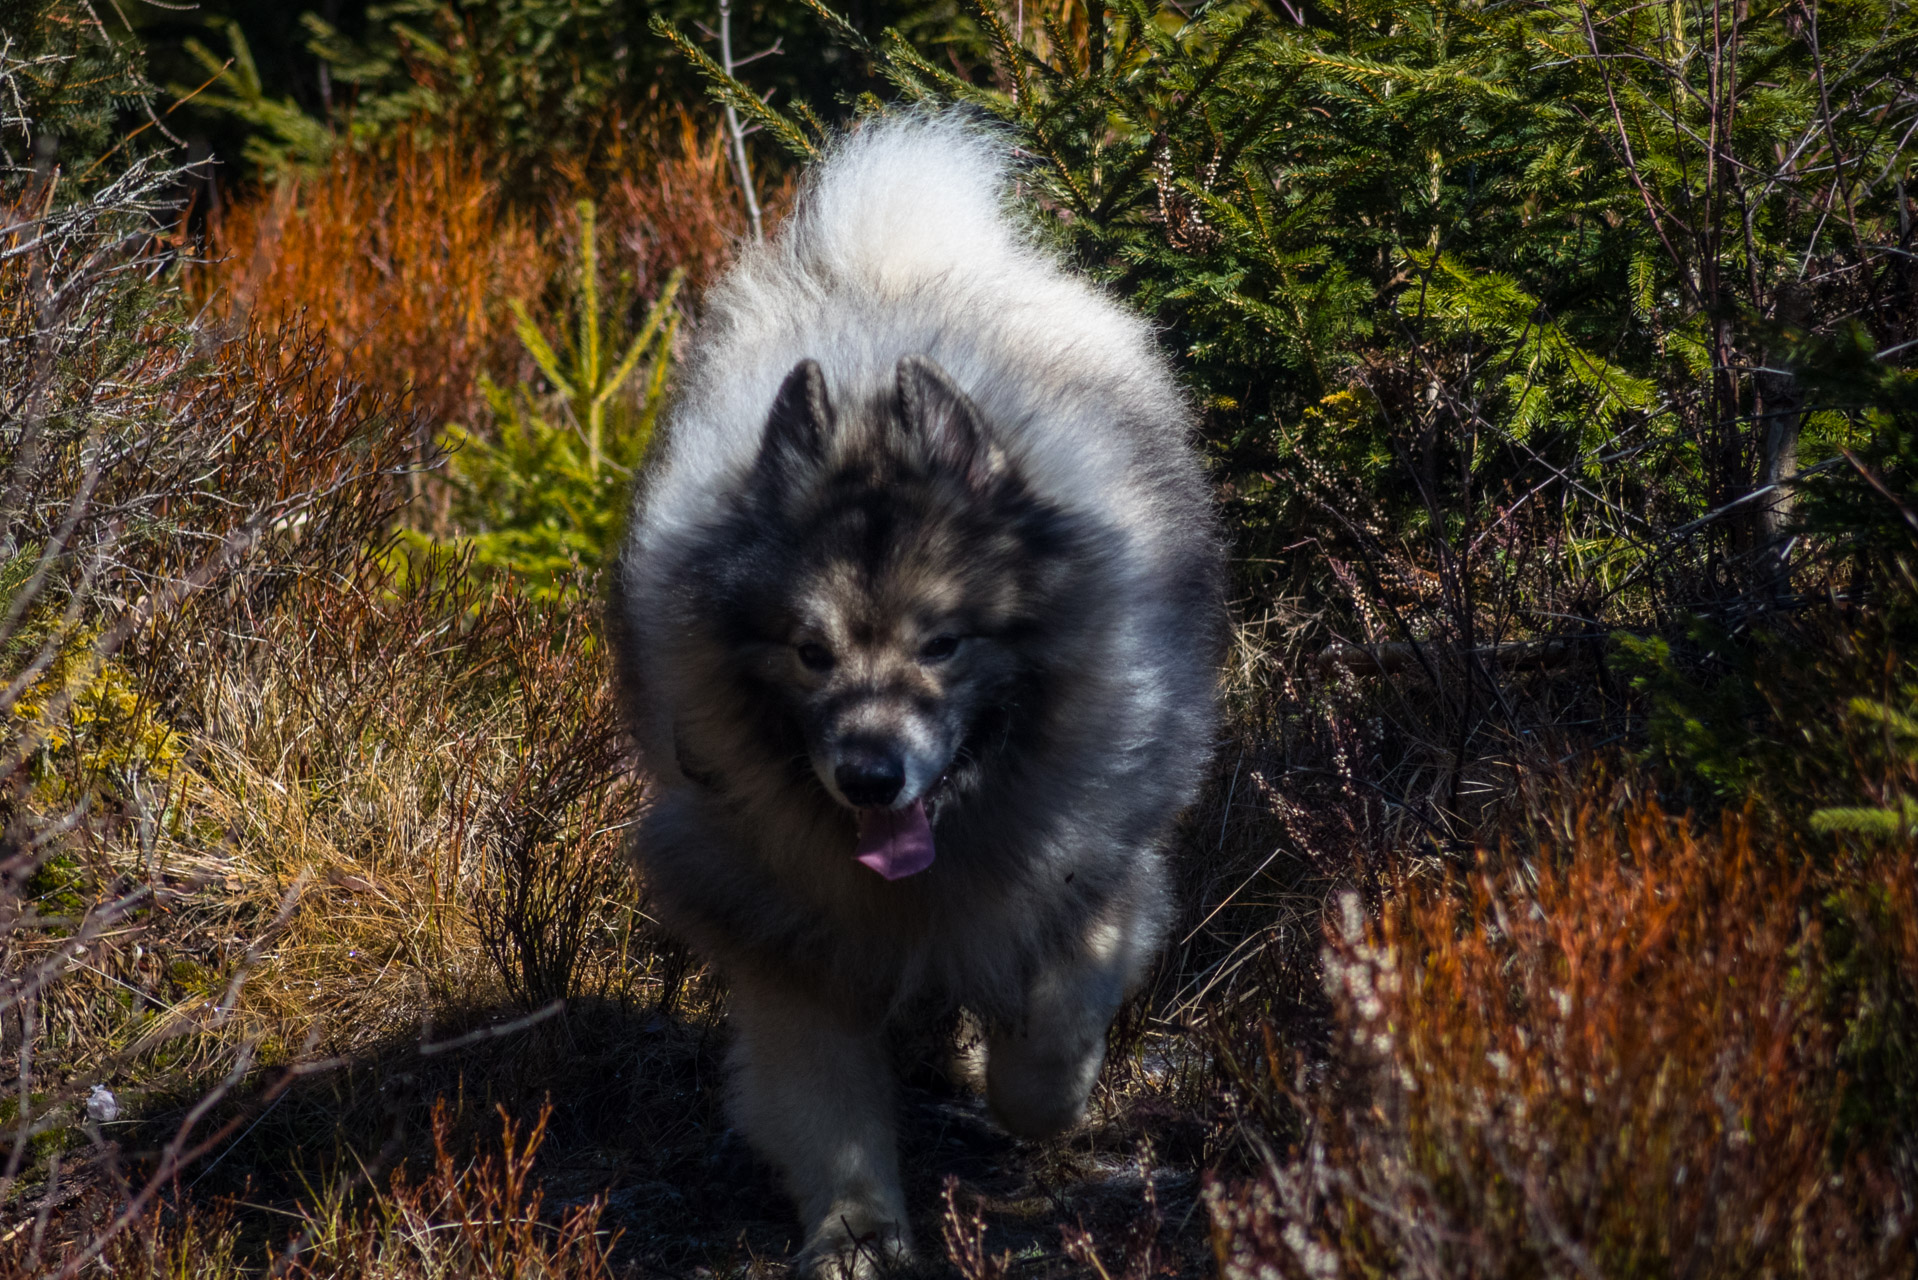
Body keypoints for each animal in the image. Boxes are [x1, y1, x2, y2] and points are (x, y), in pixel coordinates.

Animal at [606, 112, 1219, 1280]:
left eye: (942, 644)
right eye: (810, 652)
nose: (868, 773)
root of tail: (890, 256)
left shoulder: (1091, 873)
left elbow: (1047, 1045)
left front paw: (1027, 1094)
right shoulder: (787, 934)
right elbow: (828, 1106)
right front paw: (855, 1232)